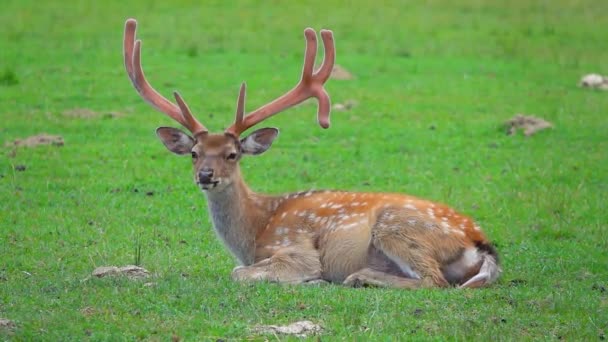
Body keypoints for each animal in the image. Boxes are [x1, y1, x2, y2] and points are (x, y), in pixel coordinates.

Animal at [121, 17, 502, 288]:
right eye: (195, 153)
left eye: (232, 154)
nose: (205, 176)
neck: (254, 231)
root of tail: (481, 243)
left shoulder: (296, 248)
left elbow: (239, 273)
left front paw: (312, 280)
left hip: (397, 228)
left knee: (434, 281)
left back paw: (359, 277)